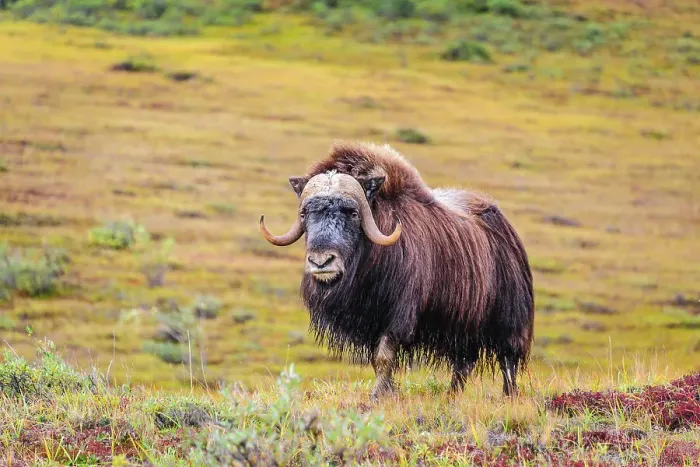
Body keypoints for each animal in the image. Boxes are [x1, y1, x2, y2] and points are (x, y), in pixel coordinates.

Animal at [260, 141, 534, 400]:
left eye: (353, 212)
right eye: (305, 213)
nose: (321, 262)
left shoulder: (397, 315)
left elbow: (384, 357)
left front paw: (377, 396)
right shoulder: (369, 323)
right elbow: (376, 359)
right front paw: (387, 392)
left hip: (507, 317)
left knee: (507, 359)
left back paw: (509, 397)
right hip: (463, 325)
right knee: (464, 363)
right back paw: (451, 395)